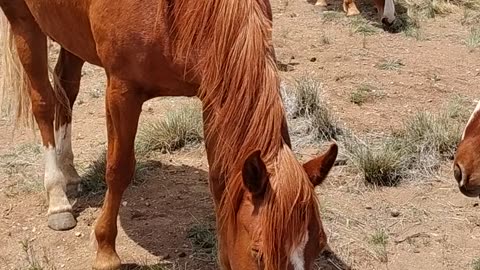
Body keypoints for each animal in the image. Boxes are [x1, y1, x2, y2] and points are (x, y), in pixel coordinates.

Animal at [0, 0, 338, 270]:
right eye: (259, 253)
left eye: (319, 247)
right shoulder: (121, 91)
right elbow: (118, 170)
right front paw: (106, 252)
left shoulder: (212, 94)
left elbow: (219, 180)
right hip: (23, 21)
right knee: (43, 102)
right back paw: (57, 198)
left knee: (66, 88)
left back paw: (69, 172)